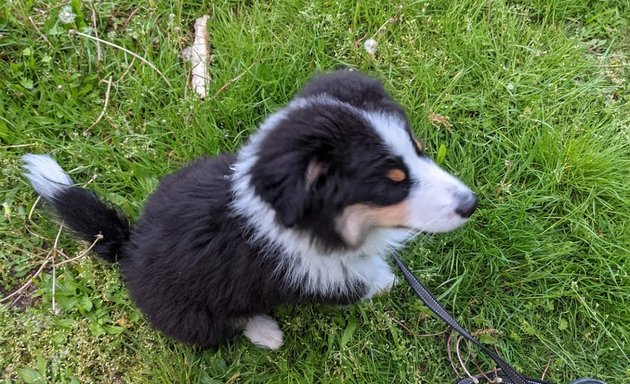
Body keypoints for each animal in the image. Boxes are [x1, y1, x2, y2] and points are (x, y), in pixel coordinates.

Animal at [24, 70, 478, 350]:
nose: (471, 205)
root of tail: (127, 248)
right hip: (194, 316)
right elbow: (358, 281)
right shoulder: (316, 275)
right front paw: (386, 281)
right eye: (391, 183)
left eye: (419, 150)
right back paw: (266, 332)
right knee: (228, 323)